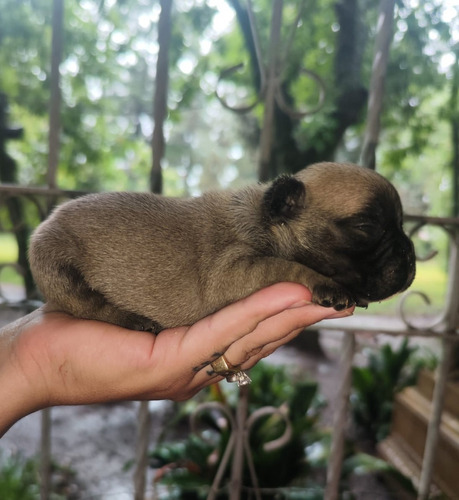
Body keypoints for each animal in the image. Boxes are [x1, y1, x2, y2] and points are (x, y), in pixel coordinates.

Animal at [27, 162, 416, 332]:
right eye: (366, 227)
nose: (410, 254)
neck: (266, 221)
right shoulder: (233, 270)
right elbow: (288, 266)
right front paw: (325, 284)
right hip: (57, 265)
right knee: (88, 306)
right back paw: (132, 319)